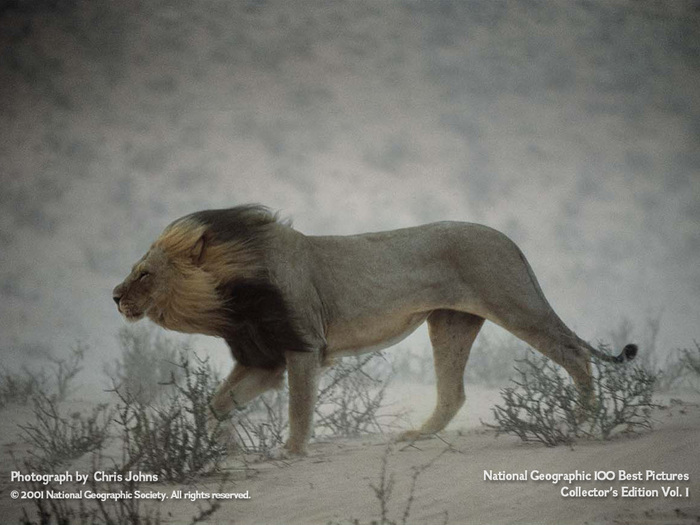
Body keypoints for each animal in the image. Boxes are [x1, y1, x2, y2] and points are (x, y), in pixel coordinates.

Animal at [112, 205, 637, 456]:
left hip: (515, 304)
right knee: (454, 394)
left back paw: (581, 421)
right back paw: (417, 437)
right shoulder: (264, 360)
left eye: (145, 274)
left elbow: (299, 410)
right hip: (450, 322)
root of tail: (509, 240)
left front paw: (289, 453)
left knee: (575, 354)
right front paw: (229, 448)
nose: (114, 295)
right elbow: (217, 404)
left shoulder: (303, 348)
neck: (228, 298)